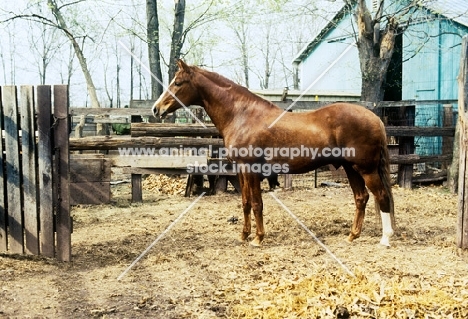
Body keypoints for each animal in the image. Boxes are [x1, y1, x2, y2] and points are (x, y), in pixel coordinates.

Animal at [154, 61, 394, 249]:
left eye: (177, 83)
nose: (156, 109)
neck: (242, 115)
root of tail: (375, 118)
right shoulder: (241, 169)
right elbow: (245, 202)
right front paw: (243, 235)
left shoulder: (251, 169)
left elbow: (257, 203)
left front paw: (258, 238)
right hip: (350, 168)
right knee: (361, 198)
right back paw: (352, 236)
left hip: (366, 169)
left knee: (381, 196)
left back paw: (385, 239)